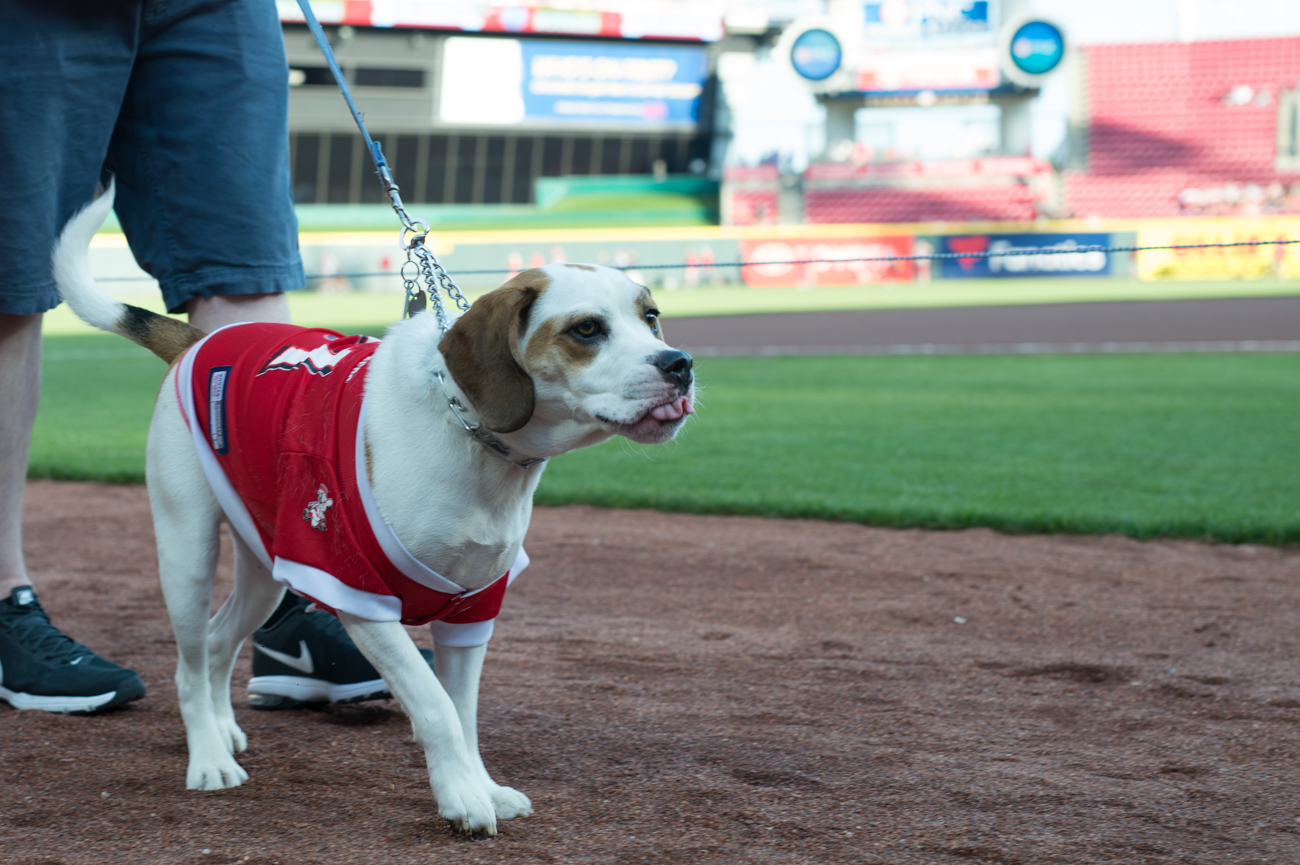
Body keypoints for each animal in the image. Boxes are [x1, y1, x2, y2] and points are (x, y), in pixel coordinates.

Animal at [54, 186, 696, 832]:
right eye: (586, 329)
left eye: (651, 316)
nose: (680, 363)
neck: (469, 435)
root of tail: (199, 342)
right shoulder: (359, 598)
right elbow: (436, 708)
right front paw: (462, 798)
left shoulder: (473, 609)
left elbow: (465, 717)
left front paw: (483, 787)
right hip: (187, 552)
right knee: (188, 664)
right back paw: (208, 757)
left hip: (267, 568)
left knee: (216, 641)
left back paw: (223, 729)